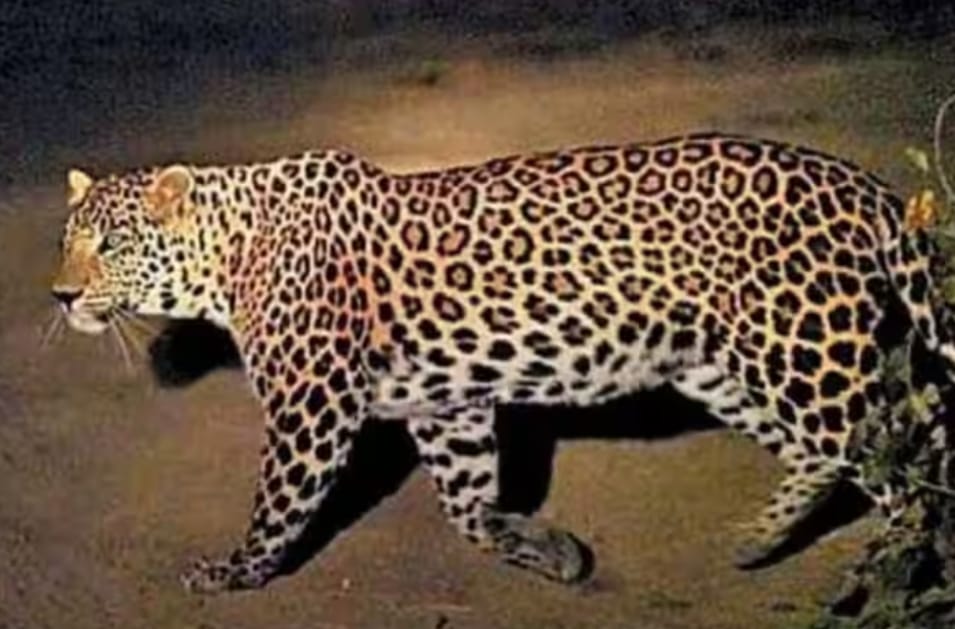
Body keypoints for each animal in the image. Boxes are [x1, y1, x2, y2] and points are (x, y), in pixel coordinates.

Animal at [52, 132, 955, 594]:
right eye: (68, 239)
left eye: (112, 244)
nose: (59, 295)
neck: (226, 257)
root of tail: (859, 184)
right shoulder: (444, 404)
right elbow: (466, 503)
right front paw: (545, 548)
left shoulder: (314, 405)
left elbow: (280, 501)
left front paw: (235, 570)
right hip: (729, 365)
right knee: (840, 452)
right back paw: (758, 541)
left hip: (801, 352)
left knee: (901, 457)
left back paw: (892, 571)